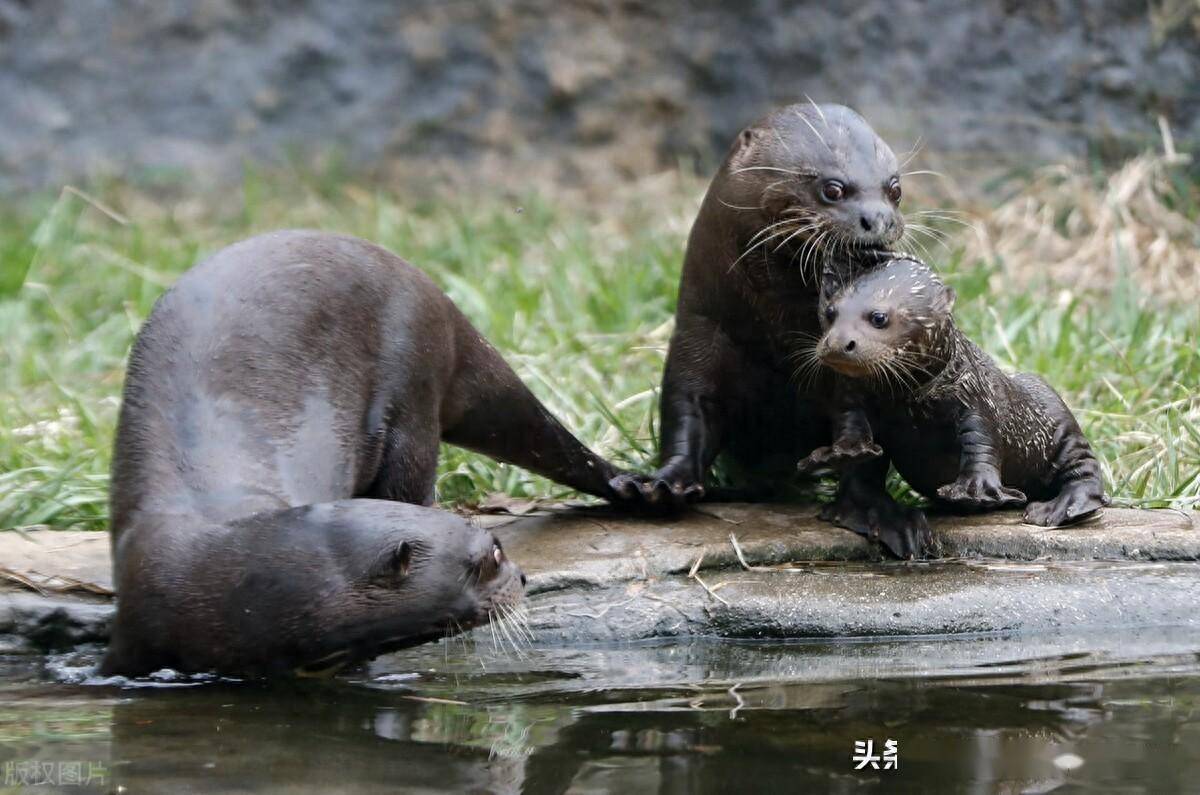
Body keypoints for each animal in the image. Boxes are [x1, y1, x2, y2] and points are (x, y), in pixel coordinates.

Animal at [100, 229, 638, 677]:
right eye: (491, 556)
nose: (524, 577)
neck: (218, 583)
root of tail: (429, 290)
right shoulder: (135, 635)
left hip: (413, 379)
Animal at [796, 258, 1104, 557]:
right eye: (831, 313)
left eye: (878, 317)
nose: (837, 343)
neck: (911, 400)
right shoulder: (855, 398)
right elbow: (852, 430)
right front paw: (842, 451)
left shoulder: (973, 396)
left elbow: (982, 441)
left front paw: (976, 488)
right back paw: (894, 521)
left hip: (1062, 426)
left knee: (1085, 468)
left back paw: (1057, 508)